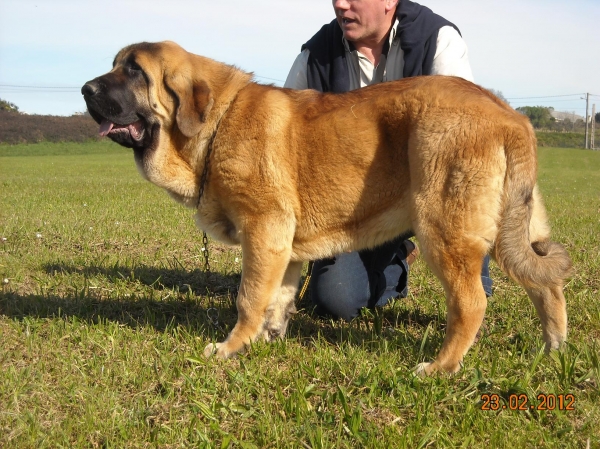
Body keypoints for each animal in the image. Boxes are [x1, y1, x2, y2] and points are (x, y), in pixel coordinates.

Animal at [81, 40, 572, 372]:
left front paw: (230, 348)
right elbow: (277, 297)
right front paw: (269, 338)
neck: (218, 120)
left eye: (135, 71)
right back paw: (552, 347)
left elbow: (248, 298)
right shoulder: (282, 246)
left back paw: (440, 368)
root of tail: (510, 115)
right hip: (520, 227)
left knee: (471, 304)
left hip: (444, 232)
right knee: (546, 285)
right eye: (114, 65)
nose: (85, 88)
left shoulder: (264, 231)